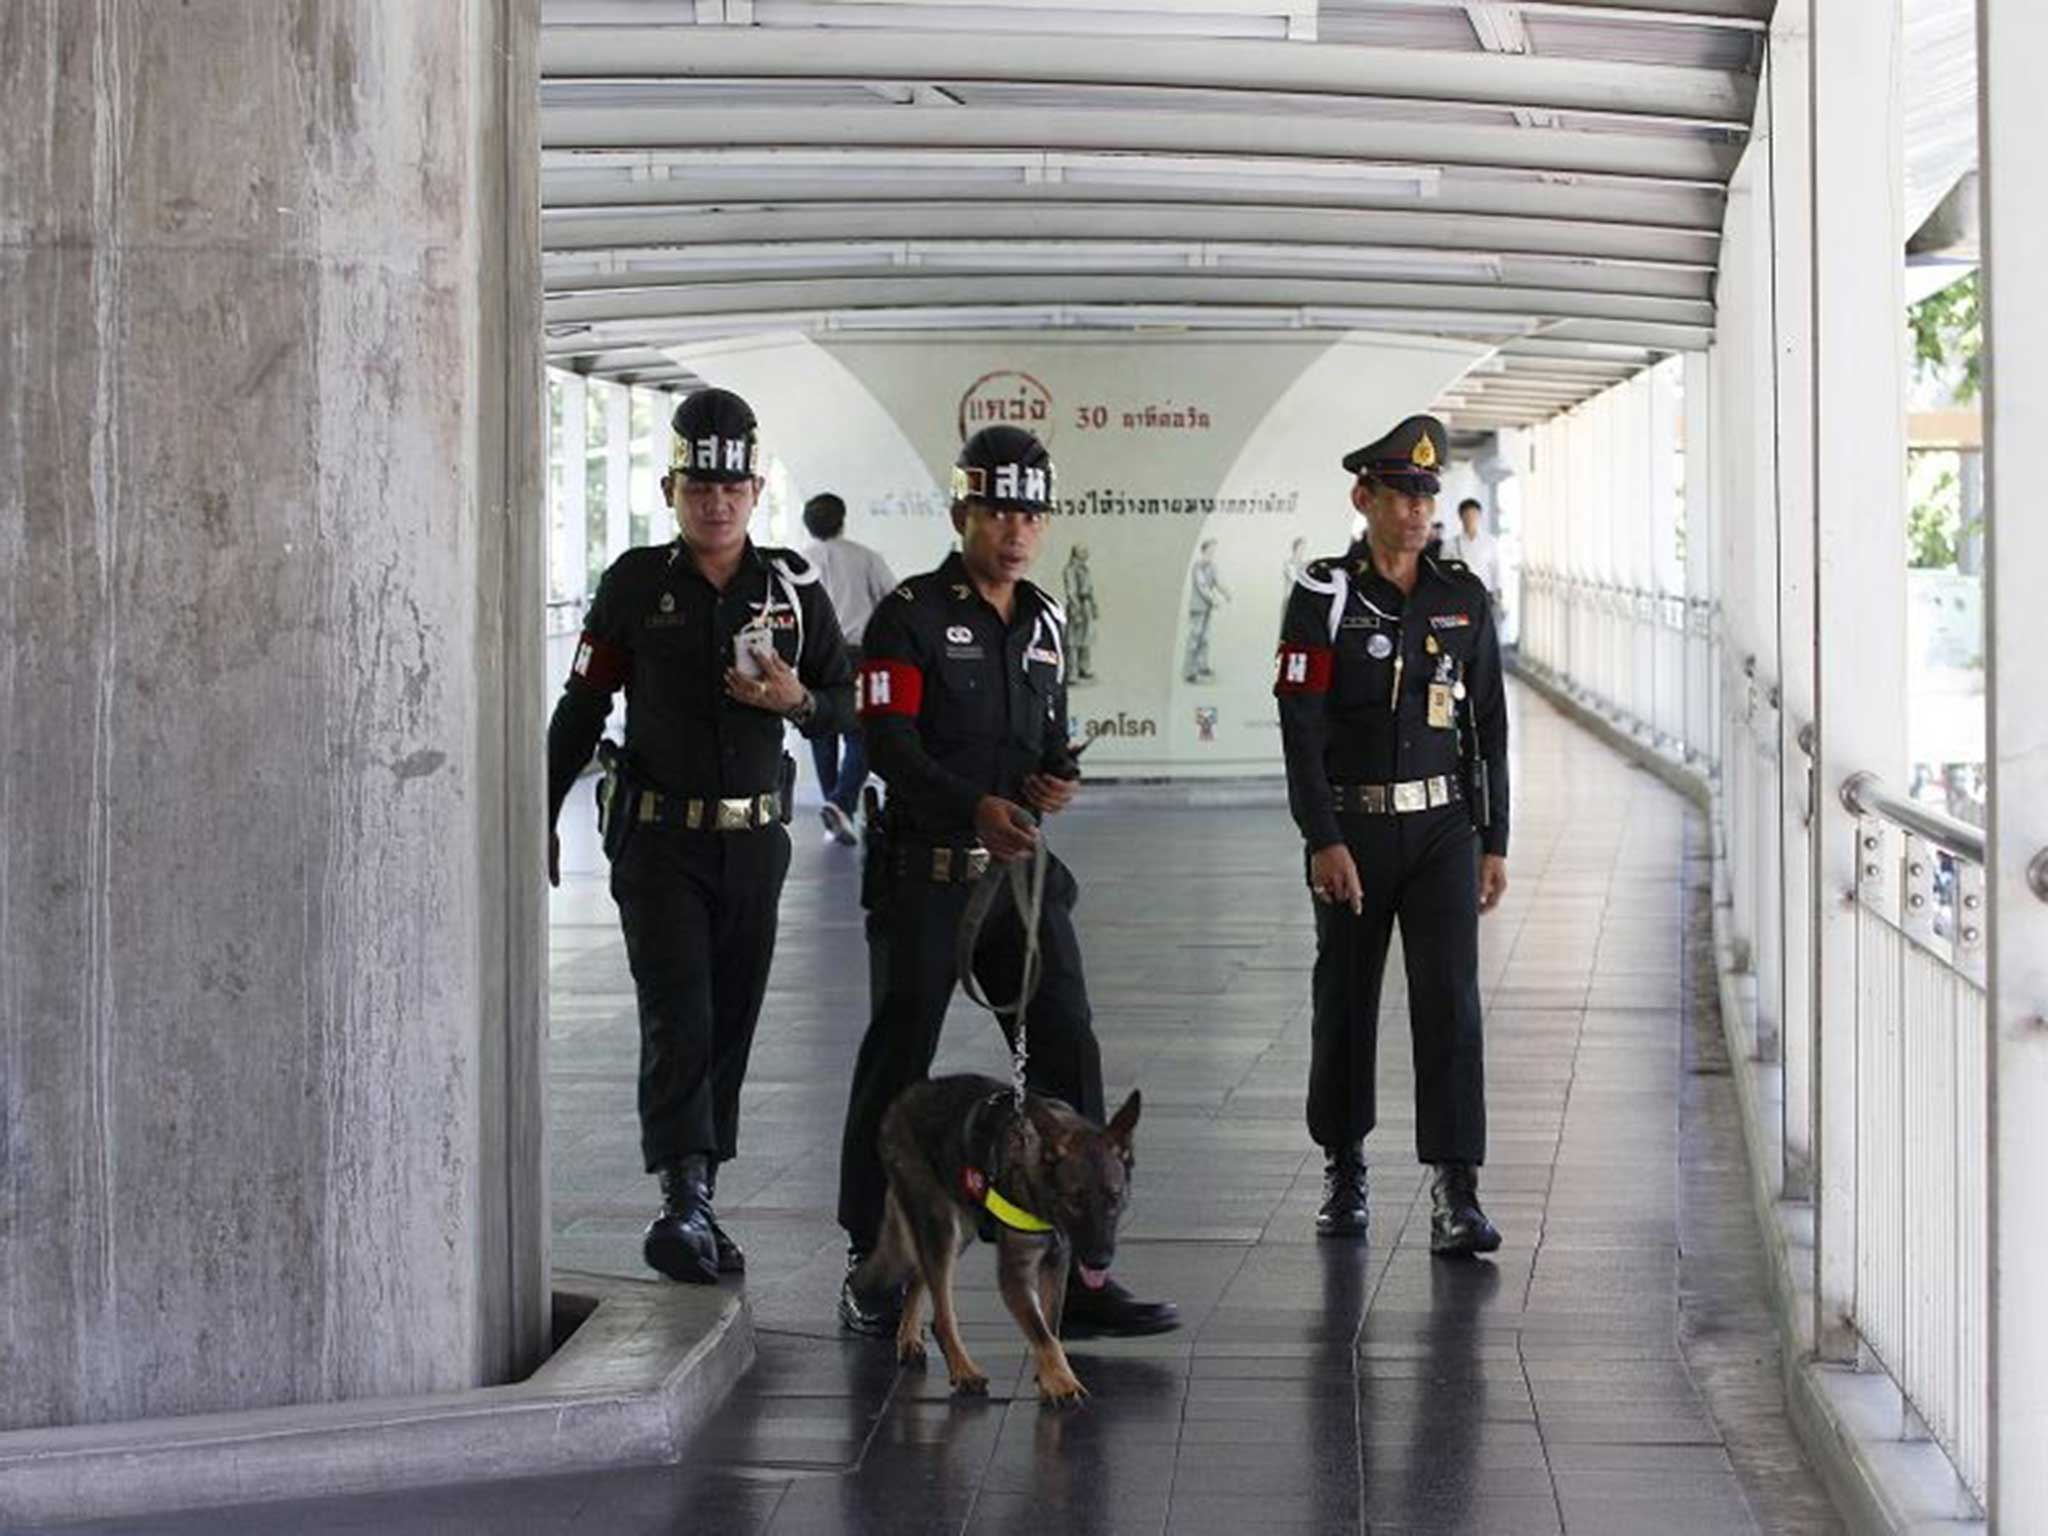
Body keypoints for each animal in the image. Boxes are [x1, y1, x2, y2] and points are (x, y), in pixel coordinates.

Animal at [843, 1073, 1138, 1417]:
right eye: (1075, 1200)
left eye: (1114, 1198)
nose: (1099, 1261)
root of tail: (903, 1099)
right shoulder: (1015, 1275)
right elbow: (1042, 1333)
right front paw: (1063, 1382)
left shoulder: (1055, 1263)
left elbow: (1050, 1325)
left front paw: (1050, 1375)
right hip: (942, 1226)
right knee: (942, 1314)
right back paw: (963, 1370)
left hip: (959, 1229)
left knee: (918, 1276)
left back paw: (908, 1337)